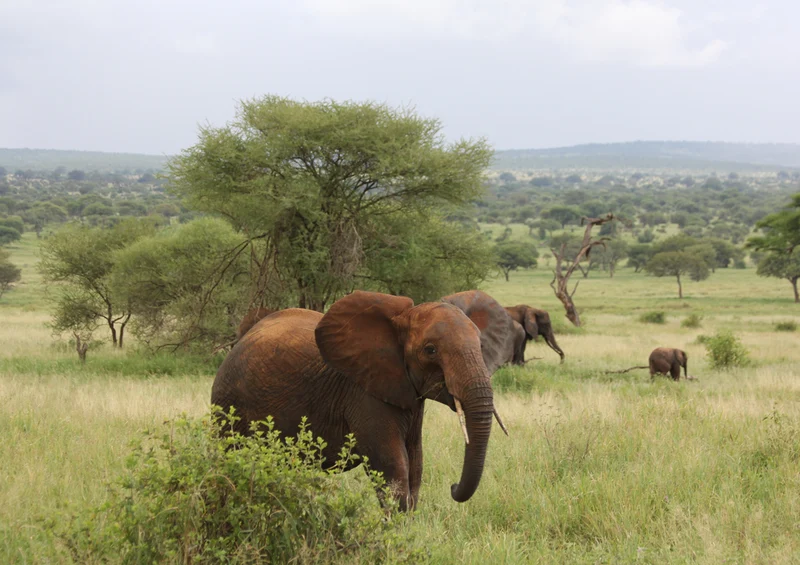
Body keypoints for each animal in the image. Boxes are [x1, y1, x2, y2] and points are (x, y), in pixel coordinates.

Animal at [211, 290, 504, 511]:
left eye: (480, 346)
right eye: (430, 350)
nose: (453, 487)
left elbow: (415, 465)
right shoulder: (363, 393)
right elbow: (392, 467)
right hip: (227, 404)